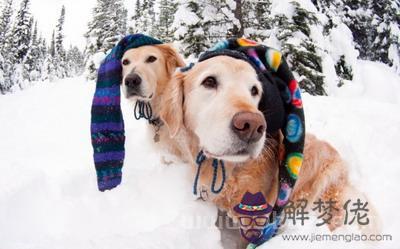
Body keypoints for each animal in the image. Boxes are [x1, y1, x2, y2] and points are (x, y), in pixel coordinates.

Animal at [159, 55, 378, 247]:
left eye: (254, 90)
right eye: (209, 81)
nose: (253, 126)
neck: (230, 170)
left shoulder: (256, 221)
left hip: (325, 183)